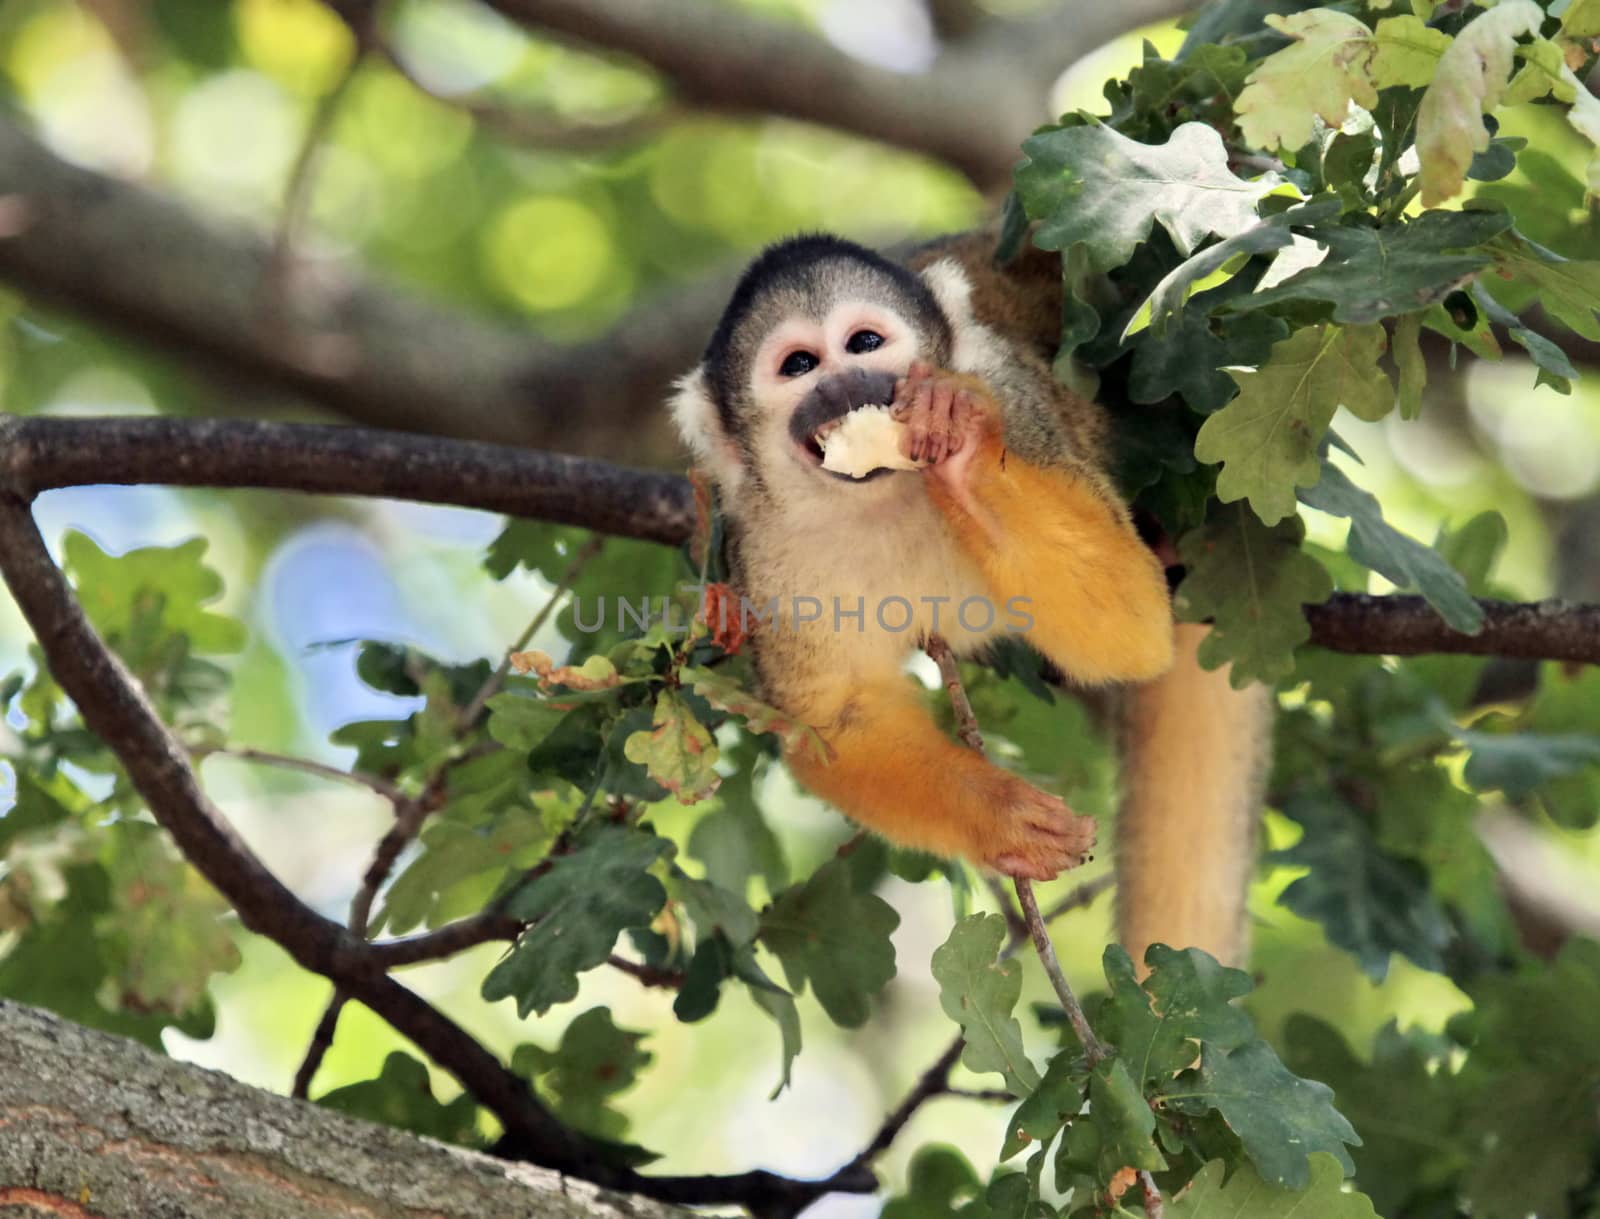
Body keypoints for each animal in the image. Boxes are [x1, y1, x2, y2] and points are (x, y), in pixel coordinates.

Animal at [668, 231, 1267, 966]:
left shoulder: (1015, 401)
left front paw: (963, 444)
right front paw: (999, 814)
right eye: (800, 365)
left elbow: (1130, 627)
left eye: (864, 343)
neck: (883, 495)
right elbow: (836, 723)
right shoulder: (764, 545)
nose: (841, 385)